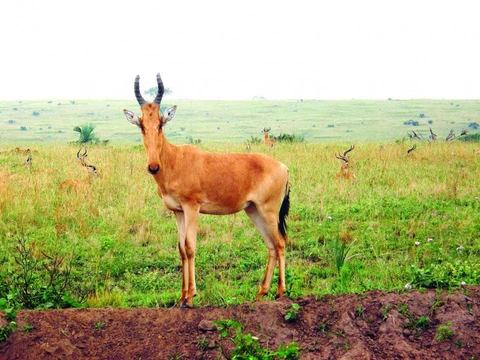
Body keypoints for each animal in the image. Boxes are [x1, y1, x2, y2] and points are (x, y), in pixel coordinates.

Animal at [122, 72, 290, 306]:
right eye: (142, 125)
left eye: (160, 124)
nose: (153, 166)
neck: (176, 159)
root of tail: (284, 167)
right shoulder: (178, 212)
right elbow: (181, 249)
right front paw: (181, 297)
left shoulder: (192, 208)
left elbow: (191, 246)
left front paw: (190, 298)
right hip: (253, 211)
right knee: (271, 245)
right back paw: (260, 295)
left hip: (269, 211)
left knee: (281, 242)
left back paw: (280, 293)